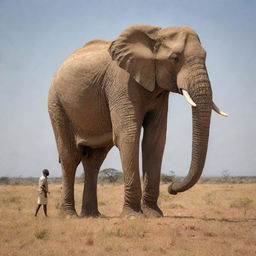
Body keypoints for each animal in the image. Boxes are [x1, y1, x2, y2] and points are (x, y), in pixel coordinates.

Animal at [48, 24, 228, 218]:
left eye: (205, 56)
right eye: (175, 58)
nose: (172, 188)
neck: (155, 35)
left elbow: (154, 140)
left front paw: (154, 214)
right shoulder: (121, 83)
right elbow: (128, 135)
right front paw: (134, 215)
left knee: (94, 161)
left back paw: (92, 216)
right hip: (56, 104)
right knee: (70, 157)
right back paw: (69, 215)